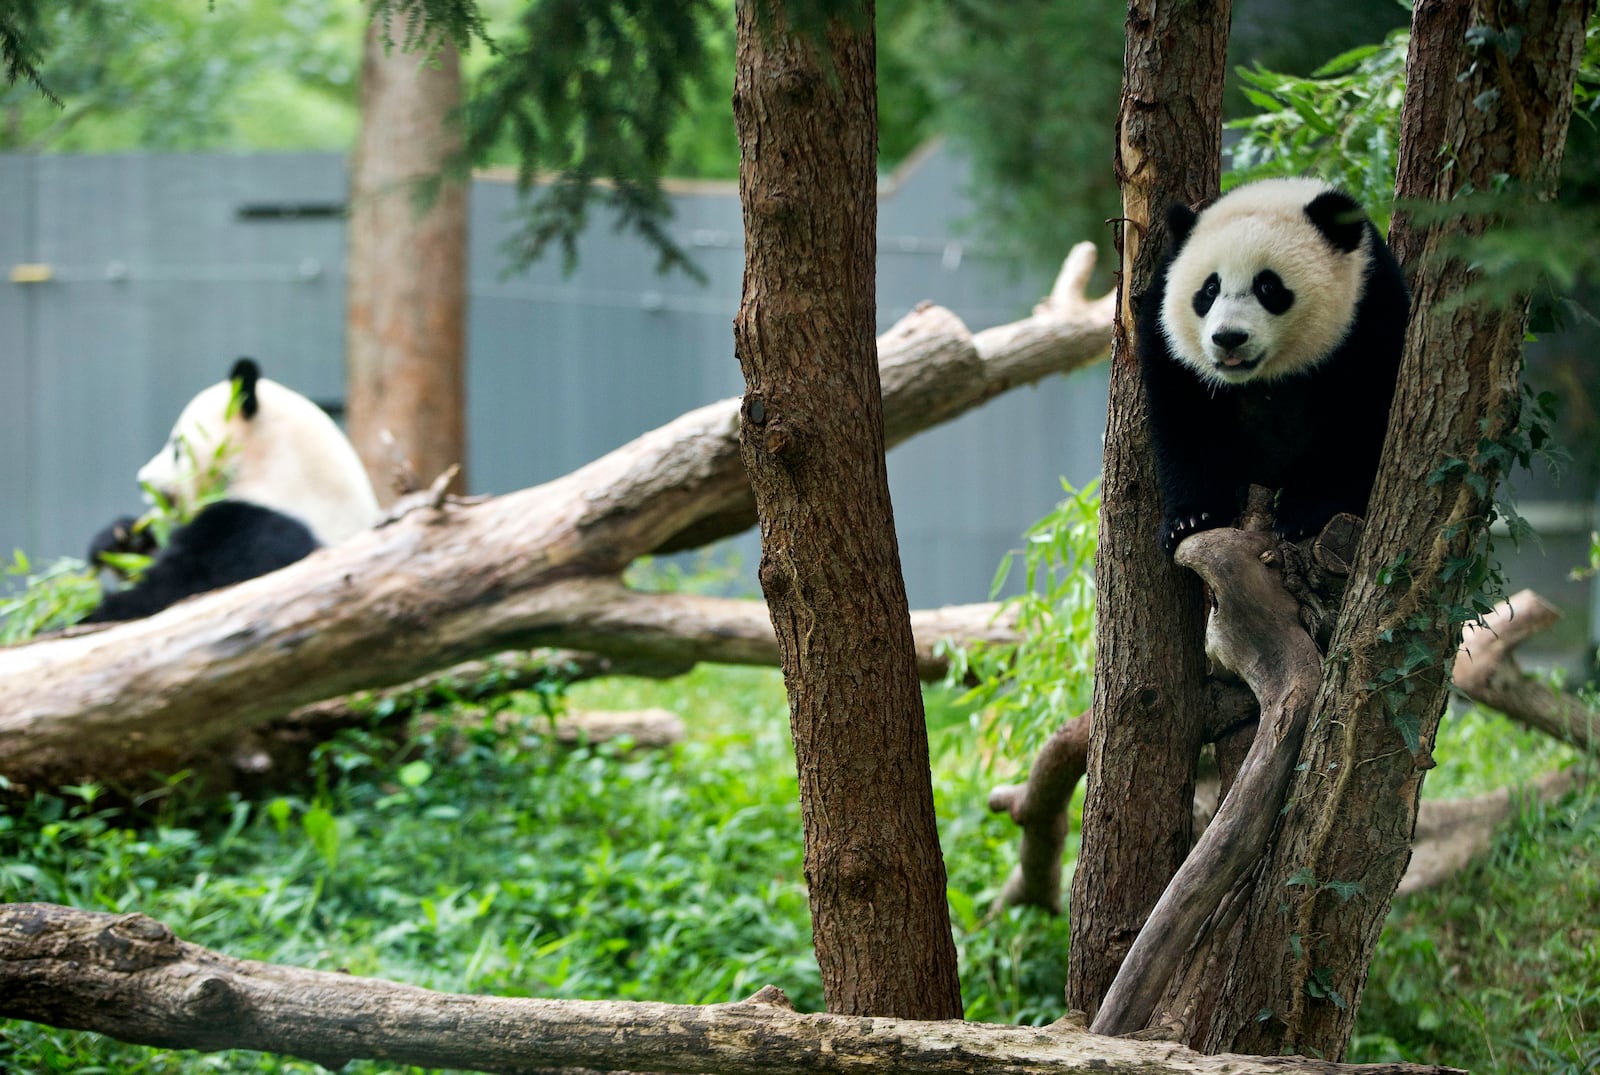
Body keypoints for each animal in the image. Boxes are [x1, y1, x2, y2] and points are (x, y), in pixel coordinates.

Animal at [1139, 175, 1414, 553]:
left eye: (1268, 286)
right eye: (1210, 289)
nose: (1229, 338)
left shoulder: (1370, 309)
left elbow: (1360, 417)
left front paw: (1305, 512)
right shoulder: (1165, 336)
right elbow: (1185, 417)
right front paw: (1192, 518)